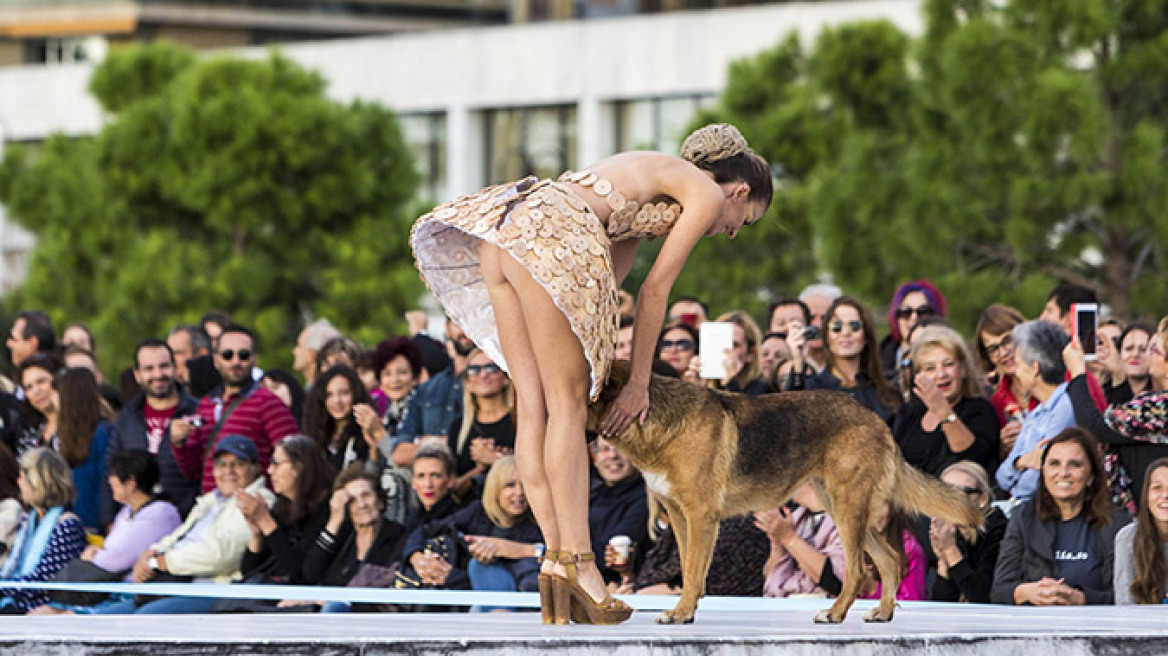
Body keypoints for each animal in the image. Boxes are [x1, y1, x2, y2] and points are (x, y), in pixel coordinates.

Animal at [588, 361, 981, 620]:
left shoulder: (701, 517)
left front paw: (682, 613)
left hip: (846, 511)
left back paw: (834, 614)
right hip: (845, 508)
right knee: (888, 559)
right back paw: (882, 613)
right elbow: (688, 571)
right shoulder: (681, 518)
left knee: (856, 572)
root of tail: (877, 420)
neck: (653, 419)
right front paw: (687, 609)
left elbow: (694, 571)